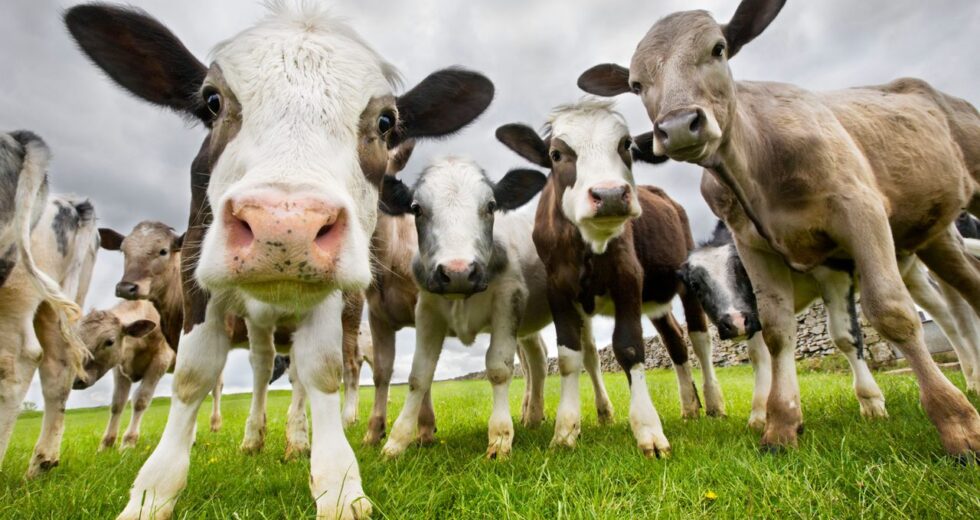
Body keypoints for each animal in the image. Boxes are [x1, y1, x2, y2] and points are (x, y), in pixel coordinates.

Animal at [70, 300, 162, 450]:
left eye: (110, 342)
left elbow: (141, 400)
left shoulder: (160, 360)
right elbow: (118, 403)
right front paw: (106, 445)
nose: (77, 379)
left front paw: (129, 442)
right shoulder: (119, 367)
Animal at [376, 156, 551, 459]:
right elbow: (419, 375)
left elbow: (499, 368)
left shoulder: (509, 298)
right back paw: (533, 417)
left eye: (491, 205)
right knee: (538, 360)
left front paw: (500, 438)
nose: (458, 271)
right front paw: (396, 442)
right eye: (416, 209)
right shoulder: (427, 309)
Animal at [496, 100, 723, 458]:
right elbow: (569, 356)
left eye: (626, 144)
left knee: (700, 338)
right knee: (674, 340)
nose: (611, 194)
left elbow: (629, 348)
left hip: (686, 279)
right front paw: (565, 430)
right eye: (556, 154)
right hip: (655, 298)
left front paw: (648, 431)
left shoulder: (627, 278)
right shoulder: (558, 289)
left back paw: (712, 403)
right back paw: (689, 406)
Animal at [577, 0, 980, 457]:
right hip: (928, 239)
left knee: (948, 306)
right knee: (962, 294)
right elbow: (774, 334)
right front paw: (778, 422)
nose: (678, 125)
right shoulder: (753, 248)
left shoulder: (854, 223)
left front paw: (951, 422)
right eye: (636, 83)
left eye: (718, 49)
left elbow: (879, 319)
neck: (756, 166)